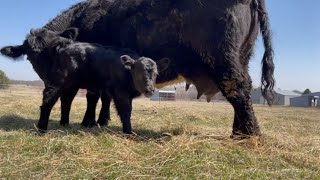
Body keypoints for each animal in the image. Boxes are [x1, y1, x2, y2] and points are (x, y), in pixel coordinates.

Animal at [0, 28, 170, 134]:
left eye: (156, 74)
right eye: (139, 72)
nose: (150, 90)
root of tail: (64, 46)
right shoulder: (120, 93)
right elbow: (126, 112)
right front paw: (128, 132)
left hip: (71, 84)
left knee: (66, 101)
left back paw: (65, 124)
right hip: (57, 81)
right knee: (48, 101)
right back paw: (42, 129)